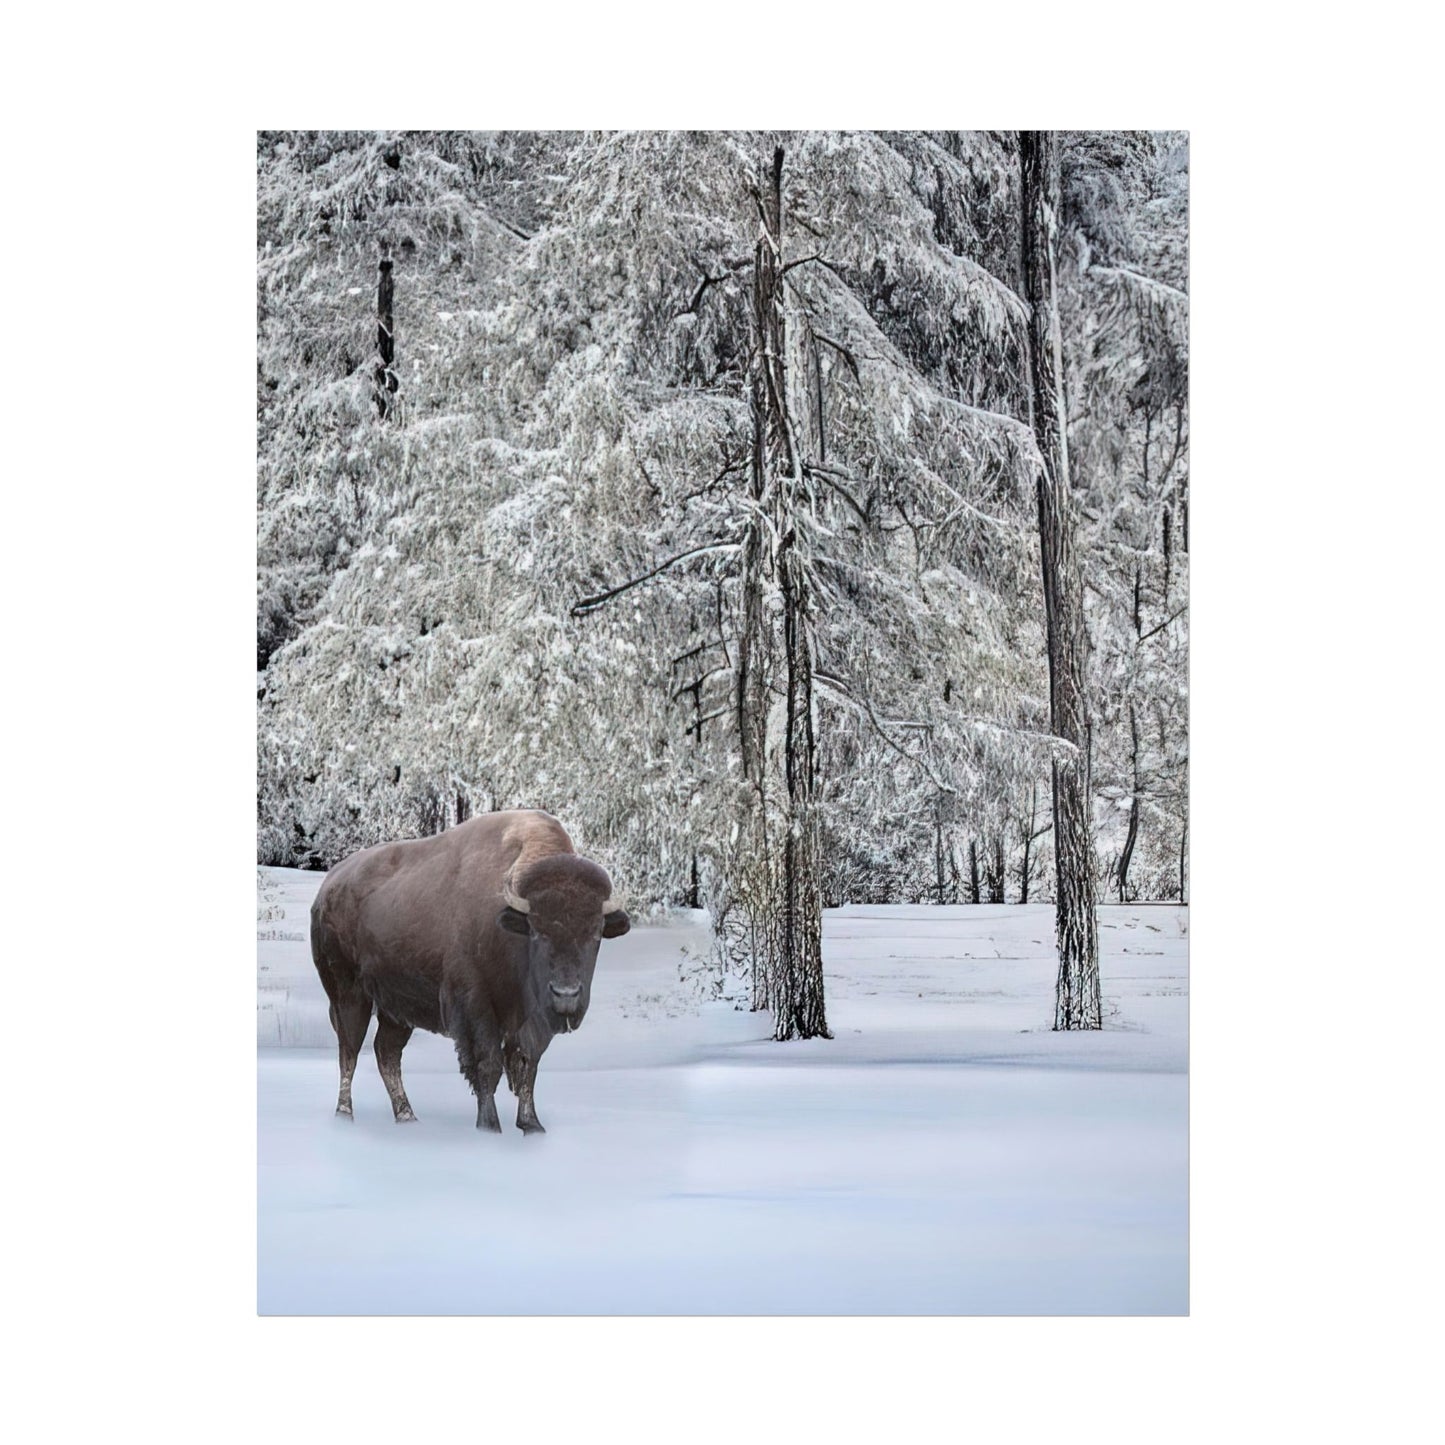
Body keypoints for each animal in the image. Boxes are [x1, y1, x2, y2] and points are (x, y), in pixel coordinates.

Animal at [309, 809, 630, 1133]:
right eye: (537, 931)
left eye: (596, 933)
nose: (566, 994)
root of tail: (326, 890)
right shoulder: (475, 1006)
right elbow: (487, 1064)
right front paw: (489, 1126)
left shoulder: (532, 1020)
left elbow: (528, 1065)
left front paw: (531, 1125)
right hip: (349, 996)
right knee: (349, 1051)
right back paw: (345, 1114)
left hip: (396, 1010)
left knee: (386, 1052)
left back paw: (407, 1116)